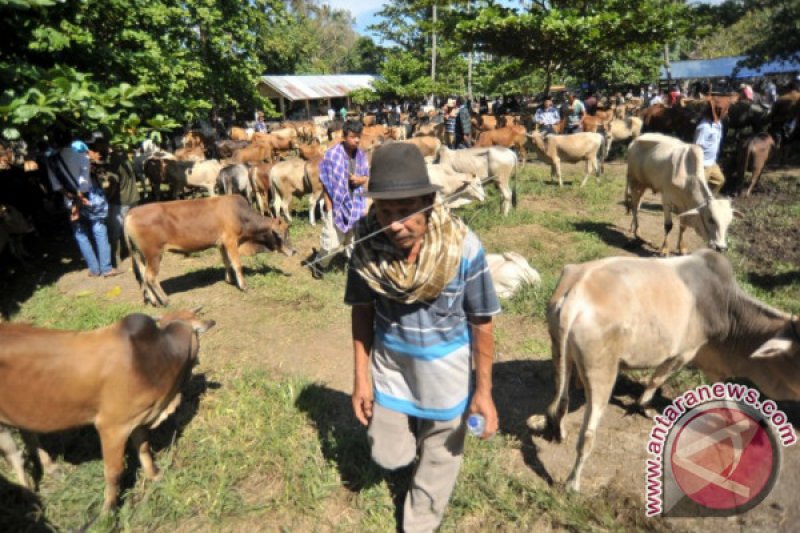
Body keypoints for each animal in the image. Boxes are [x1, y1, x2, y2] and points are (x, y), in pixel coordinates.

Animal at [0, 306, 216, 510]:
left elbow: (144, 448)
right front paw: (108, 510)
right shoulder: (112, 427)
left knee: (28, 435)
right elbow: (113, 472)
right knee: (15, 457)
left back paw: (52, 469)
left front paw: (154, 475)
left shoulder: (138, 419)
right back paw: (29, 495)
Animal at [126, 195, 296, 306]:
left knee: (143, 276)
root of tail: (130, 214)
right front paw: (244, 286)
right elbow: (237, 264)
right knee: (150, 277)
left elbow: (226, 262)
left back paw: (153, 300)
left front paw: (229, 279)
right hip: (154, 254)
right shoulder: (231, 241)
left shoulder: (221, 244)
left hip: (141, 255)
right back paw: (165, 300)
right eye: (283, 233)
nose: (294, 251)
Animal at [532, 249, 800, 490]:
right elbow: (656, 380)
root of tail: (576, 292)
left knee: (558, 402)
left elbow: (724, 393)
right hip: (602, 370)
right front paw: (643, 405)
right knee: (587, 435)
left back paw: (556, 428)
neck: (728, 311)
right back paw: (572, 484)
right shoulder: (682, 354)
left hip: (558, 348)